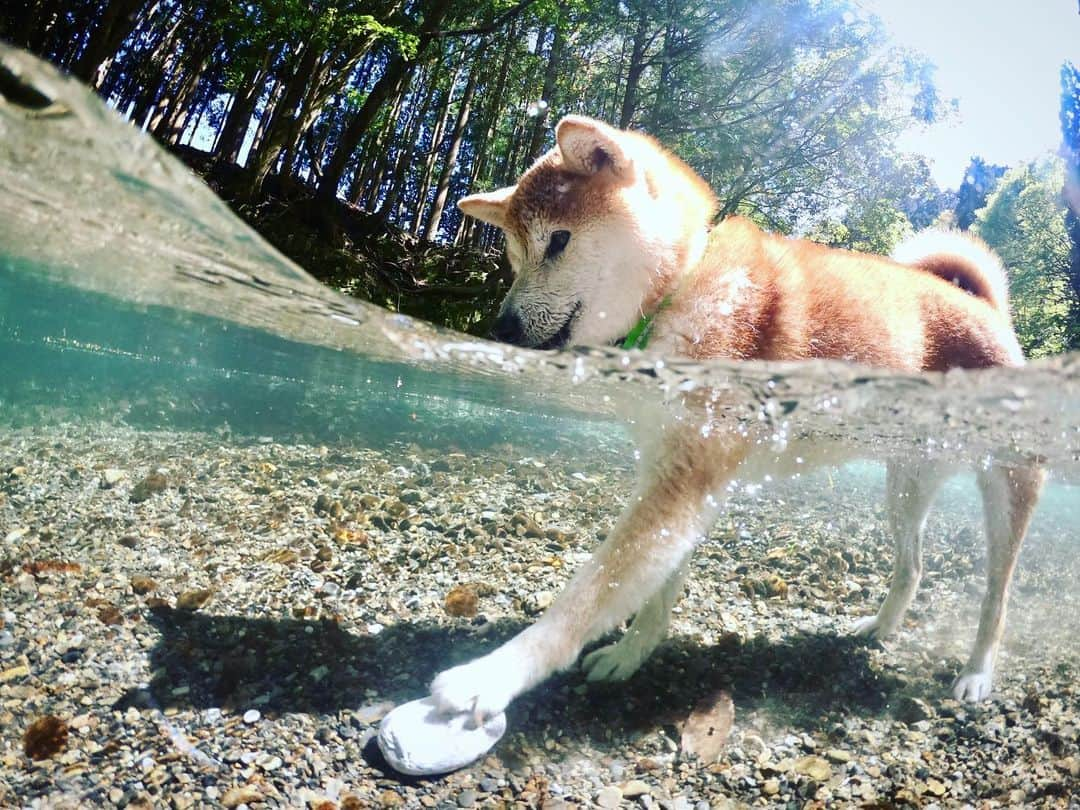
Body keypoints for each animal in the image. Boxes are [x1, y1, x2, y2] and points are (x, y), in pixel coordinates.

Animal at [429, 114, 1036, 721]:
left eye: (558, 240)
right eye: (513, 255)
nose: (500, 330)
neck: (683, 287)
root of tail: (988, 310)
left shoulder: (681, 481)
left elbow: (589, 595)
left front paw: (492, 675)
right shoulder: (677, 480)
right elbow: (658, 589)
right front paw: (631, 654)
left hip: (1007, 483)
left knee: (999, 594)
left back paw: (976, 673)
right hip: (907, 482)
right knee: (913, 567)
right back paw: (879, 627)